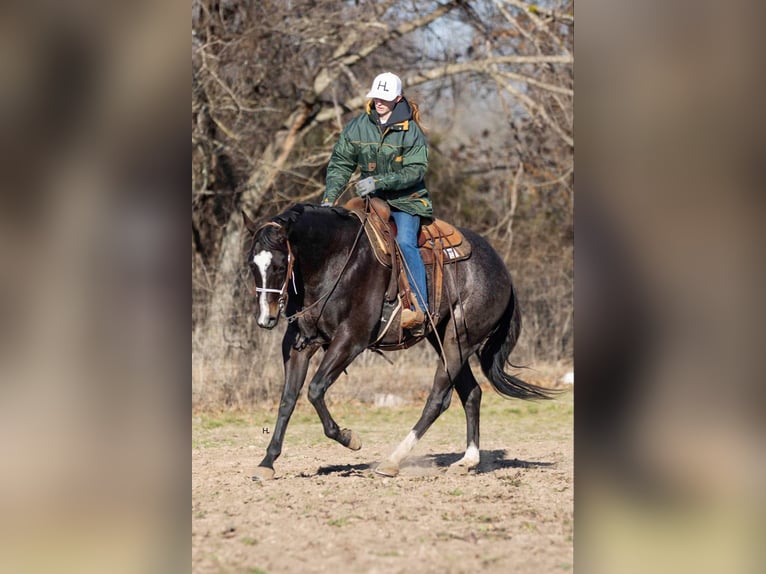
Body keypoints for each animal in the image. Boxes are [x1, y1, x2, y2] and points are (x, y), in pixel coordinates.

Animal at [243, 202, 556, 480]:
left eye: (280, 265)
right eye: (252, 265)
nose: (266, 318)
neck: (335, 261)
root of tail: (502, 270)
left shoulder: (350, 340)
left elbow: (315, 390)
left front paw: (348, 437)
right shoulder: (299, 345)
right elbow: (288, 399)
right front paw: (267, 462)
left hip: (459, 342)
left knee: (437, 400)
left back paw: (392, 461)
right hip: (442, 338)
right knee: (472, 393)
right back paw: (467, 460)